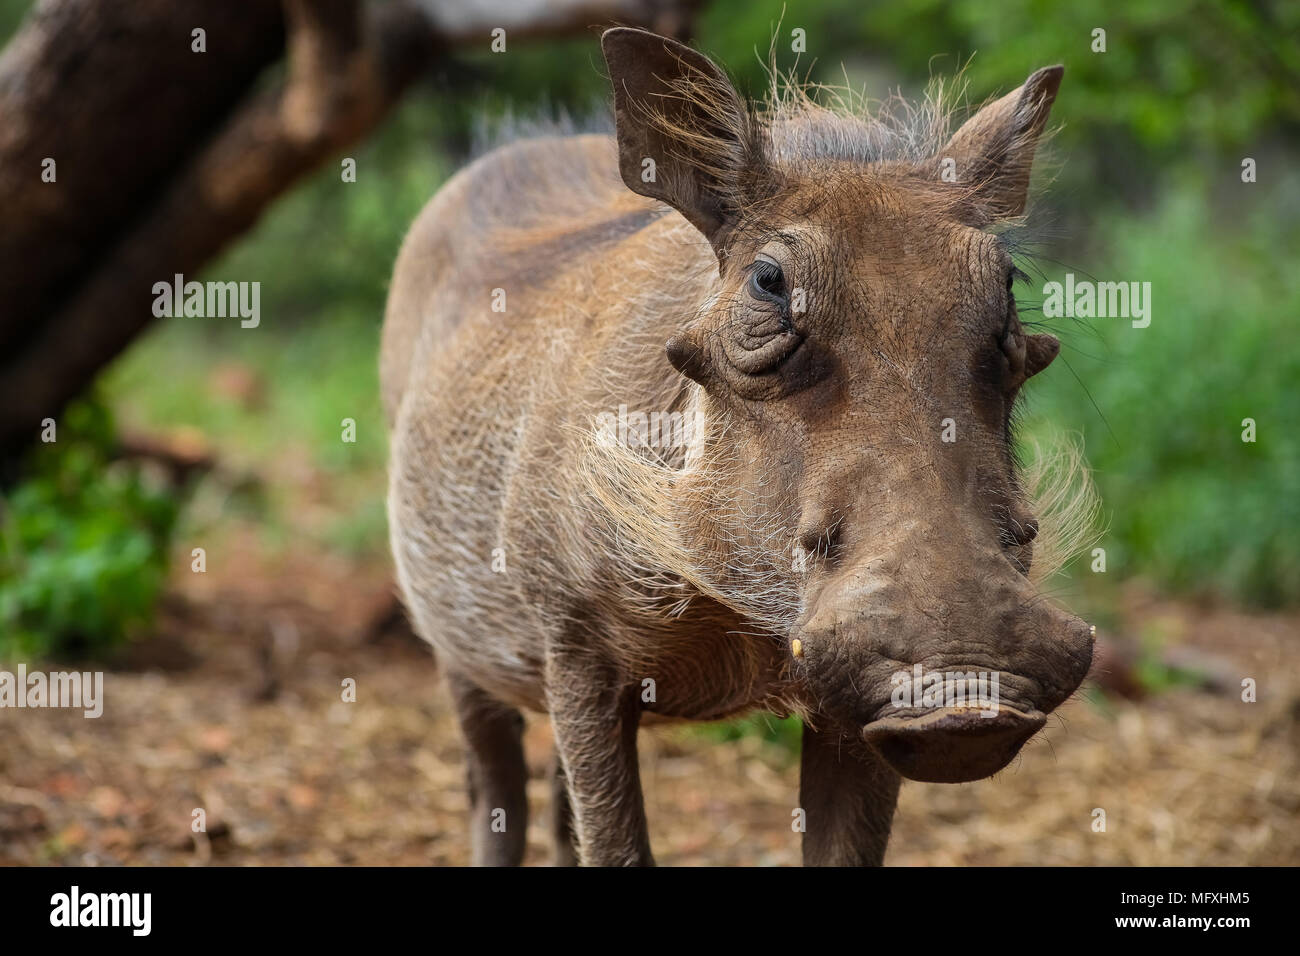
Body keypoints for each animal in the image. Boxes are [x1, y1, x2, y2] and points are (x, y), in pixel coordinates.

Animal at [380, 27, 1094, 866]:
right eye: (768, 283)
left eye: (1007, 285)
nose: (969, 695)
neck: (738, 611)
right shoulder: (575, 650)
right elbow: (615, 844)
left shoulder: (849, 700)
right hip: (459, 647)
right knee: (494, 789)